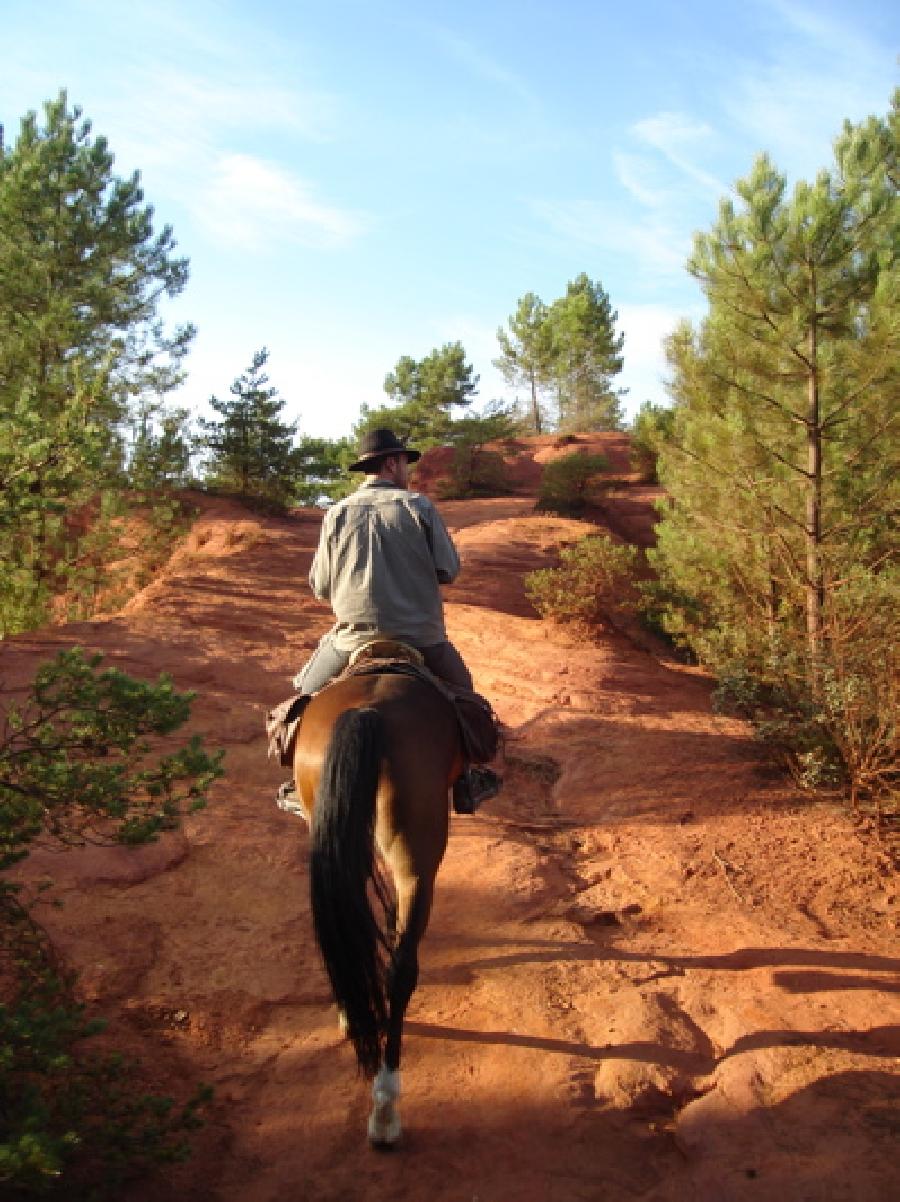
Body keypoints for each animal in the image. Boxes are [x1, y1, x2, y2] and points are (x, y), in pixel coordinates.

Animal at [293, 668, 463, 1144]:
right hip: (418, 856)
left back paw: (354, 1015)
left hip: (326, 821)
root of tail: (370, 711)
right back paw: (386, 1105)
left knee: (345, 929)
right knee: (402, 969)